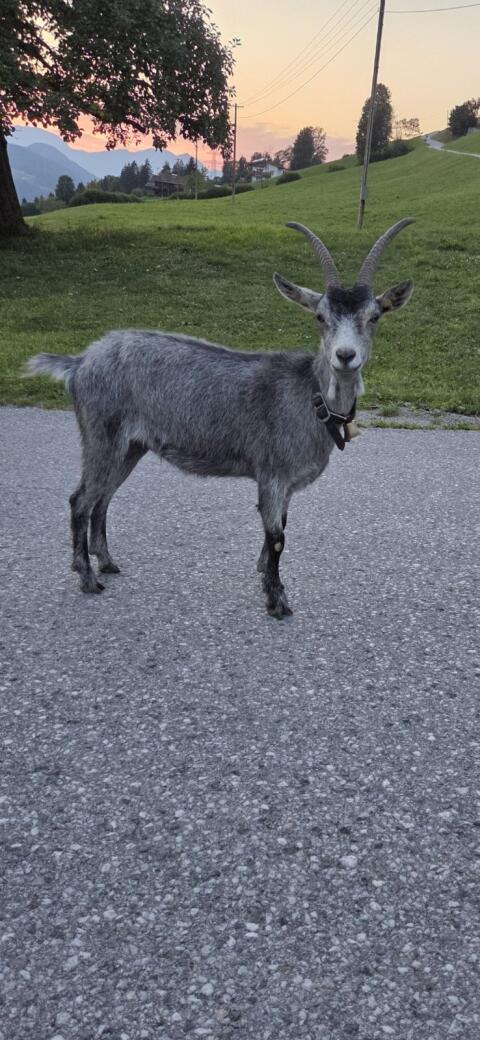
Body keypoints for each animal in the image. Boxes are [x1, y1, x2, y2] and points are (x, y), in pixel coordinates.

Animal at [27, 218, 414, 618]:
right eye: (321, 317)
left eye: (374, 316)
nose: (345, 355)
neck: (311, 396)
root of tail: (80, 362)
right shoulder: (272, 474)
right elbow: (277, 538)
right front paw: (277, 600)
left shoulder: (287, 484)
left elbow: (278, 531)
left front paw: (265, 577)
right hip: (101, 435)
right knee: (81, 501)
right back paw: (88, 578)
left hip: (129, 447)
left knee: (102, 499)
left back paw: (105, 562)